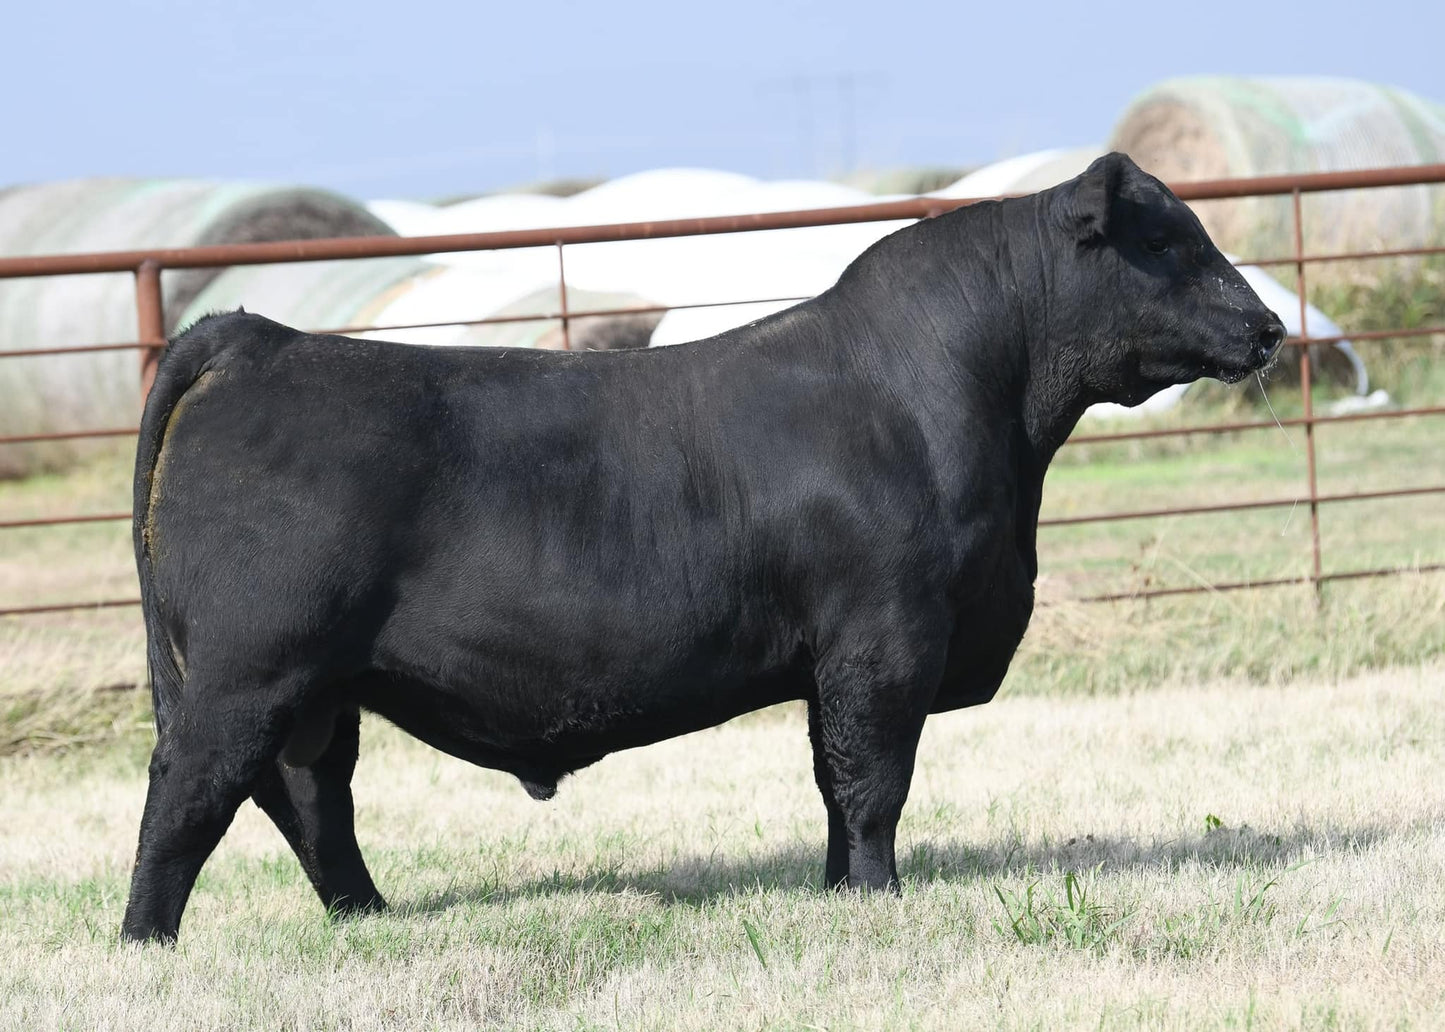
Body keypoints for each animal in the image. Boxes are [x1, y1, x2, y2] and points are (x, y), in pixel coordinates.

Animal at [120, 153, 1285, 943]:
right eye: (1167, 243)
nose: (1269, 327)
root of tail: (259, 336)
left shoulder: (834, 657)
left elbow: (831, 777)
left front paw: (836, 892)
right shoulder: (886, 637)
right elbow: (873, 779)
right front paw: (879, 897)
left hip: (320, 686)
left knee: (310, 796)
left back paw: (369, 916)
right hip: (249, 670)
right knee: (192, 788)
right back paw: (147, 944)